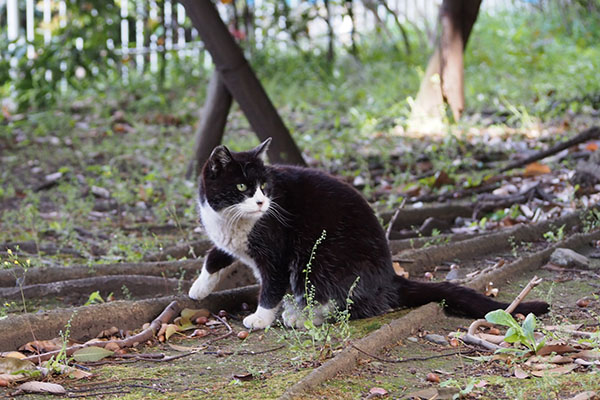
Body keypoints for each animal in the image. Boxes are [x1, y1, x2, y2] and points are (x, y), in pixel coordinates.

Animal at [189, 139, 548, 330]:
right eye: (241, 187)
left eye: (264, 186)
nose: (263, 202)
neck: (232, 220)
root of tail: (391, 276)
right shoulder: (227, 235)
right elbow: (216, 253)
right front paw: (198, 288)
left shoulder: (276, 248)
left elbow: (272, 285)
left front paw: (260, 318)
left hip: (320, 259)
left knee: (351, 302)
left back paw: (304, 316)